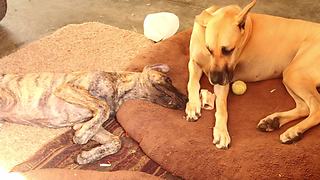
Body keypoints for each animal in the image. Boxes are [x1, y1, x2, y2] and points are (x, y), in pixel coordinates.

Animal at [0, 64, 186, 164]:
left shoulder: (89, 120)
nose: (186, 100)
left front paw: (87, 156)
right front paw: (81, 137)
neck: (119, 92)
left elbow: (116, 141)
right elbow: (102, 107)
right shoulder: (67, 88)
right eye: (168, 79)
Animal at [186, 0, 320, 149]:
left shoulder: (224, 81)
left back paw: (294, 131)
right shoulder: (194, 63)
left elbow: (221, 107)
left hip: (294, 74)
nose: (213, 80)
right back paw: (273, 121)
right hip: (290, 77)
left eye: (228, 50)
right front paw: (193, 105)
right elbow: (192, 83)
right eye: (208, 49)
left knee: (316, 108)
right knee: (304, 108)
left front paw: (221, 132)